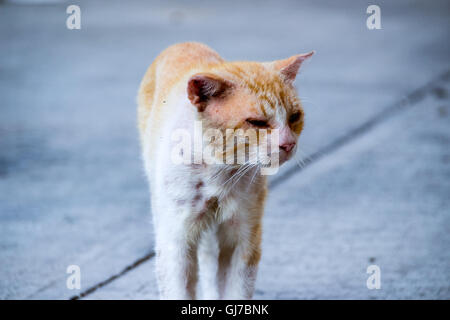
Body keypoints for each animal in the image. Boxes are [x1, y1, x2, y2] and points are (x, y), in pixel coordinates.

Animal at [137, 42, 312, 300]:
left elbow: (237, 290)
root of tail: (182, 43)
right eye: (257, 123)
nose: (288, 143)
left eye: (294, 117)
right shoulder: (175, 241)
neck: (220, 170)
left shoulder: (243, 237)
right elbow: (178, 289)